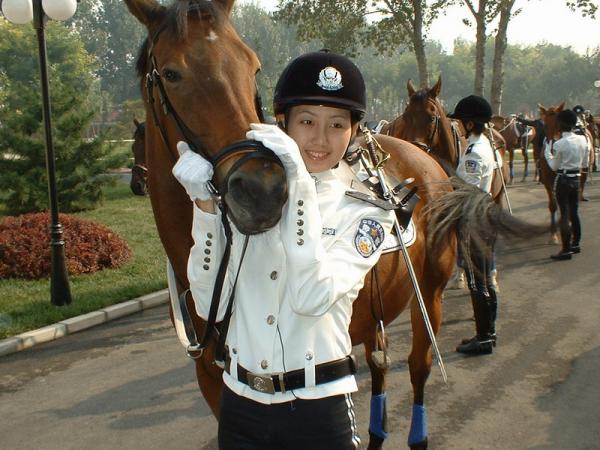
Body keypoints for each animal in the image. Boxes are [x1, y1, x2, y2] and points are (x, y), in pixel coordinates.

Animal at [124, 1, 540, 448]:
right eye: (171, 73)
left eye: (253, 67)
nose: (262, 188)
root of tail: (425, 160)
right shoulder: (213, 379)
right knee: (379, 365)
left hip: (429, 293)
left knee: (418, 364)